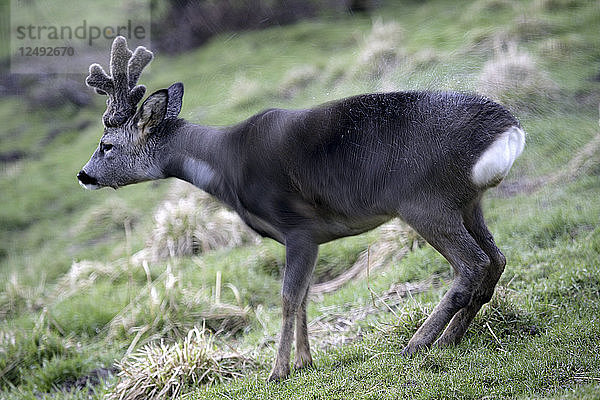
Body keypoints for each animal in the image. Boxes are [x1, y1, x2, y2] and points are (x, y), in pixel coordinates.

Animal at [77, 36, 524, 382]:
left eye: (107, 145)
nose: (84, 174)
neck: (225, 166)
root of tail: (509, 130)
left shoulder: (299, 228)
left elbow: (289, 297)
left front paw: (278, 371)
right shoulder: (316, 238)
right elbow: (307, 294)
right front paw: (306, 361)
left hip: (425, 201)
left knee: (472, 265)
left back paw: (418, 343)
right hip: (468, 202)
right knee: (496, 260)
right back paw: (451, 337)